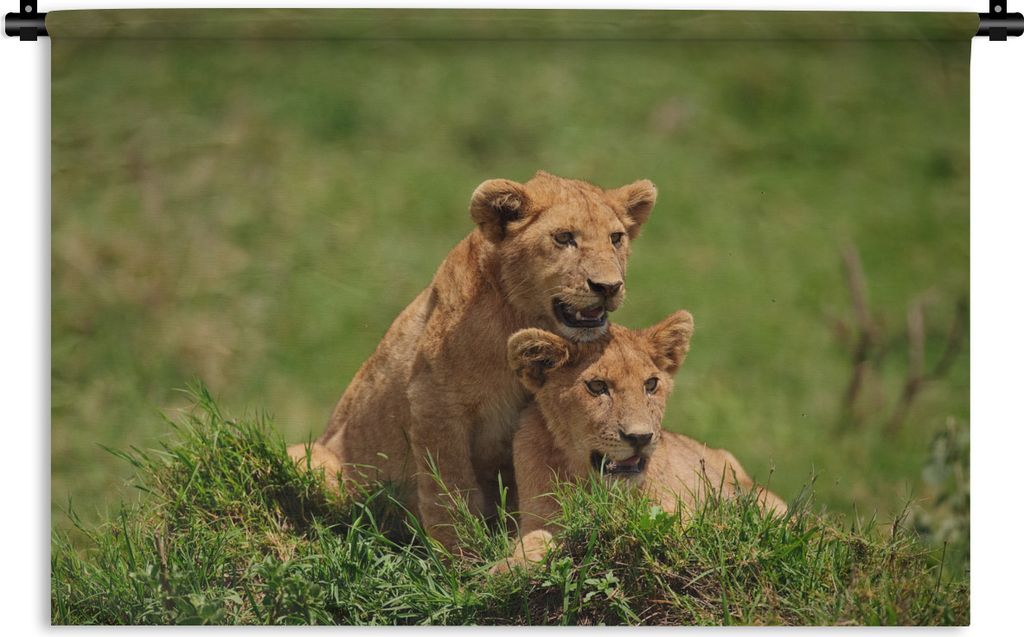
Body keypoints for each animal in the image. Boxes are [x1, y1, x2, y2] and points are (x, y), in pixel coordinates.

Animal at [287, 171, 658, 551]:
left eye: (616, 238)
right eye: (564, 237)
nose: (609, 287)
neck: (520, 318)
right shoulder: (434, 404)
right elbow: (449, 490)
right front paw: (459, 554)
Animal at [494, 311, 787, 572]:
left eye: (651, 384)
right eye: (597, 386)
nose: (640, 437)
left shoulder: (680, 512)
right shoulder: (538, 519)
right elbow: (534, 539)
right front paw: (512, 564)